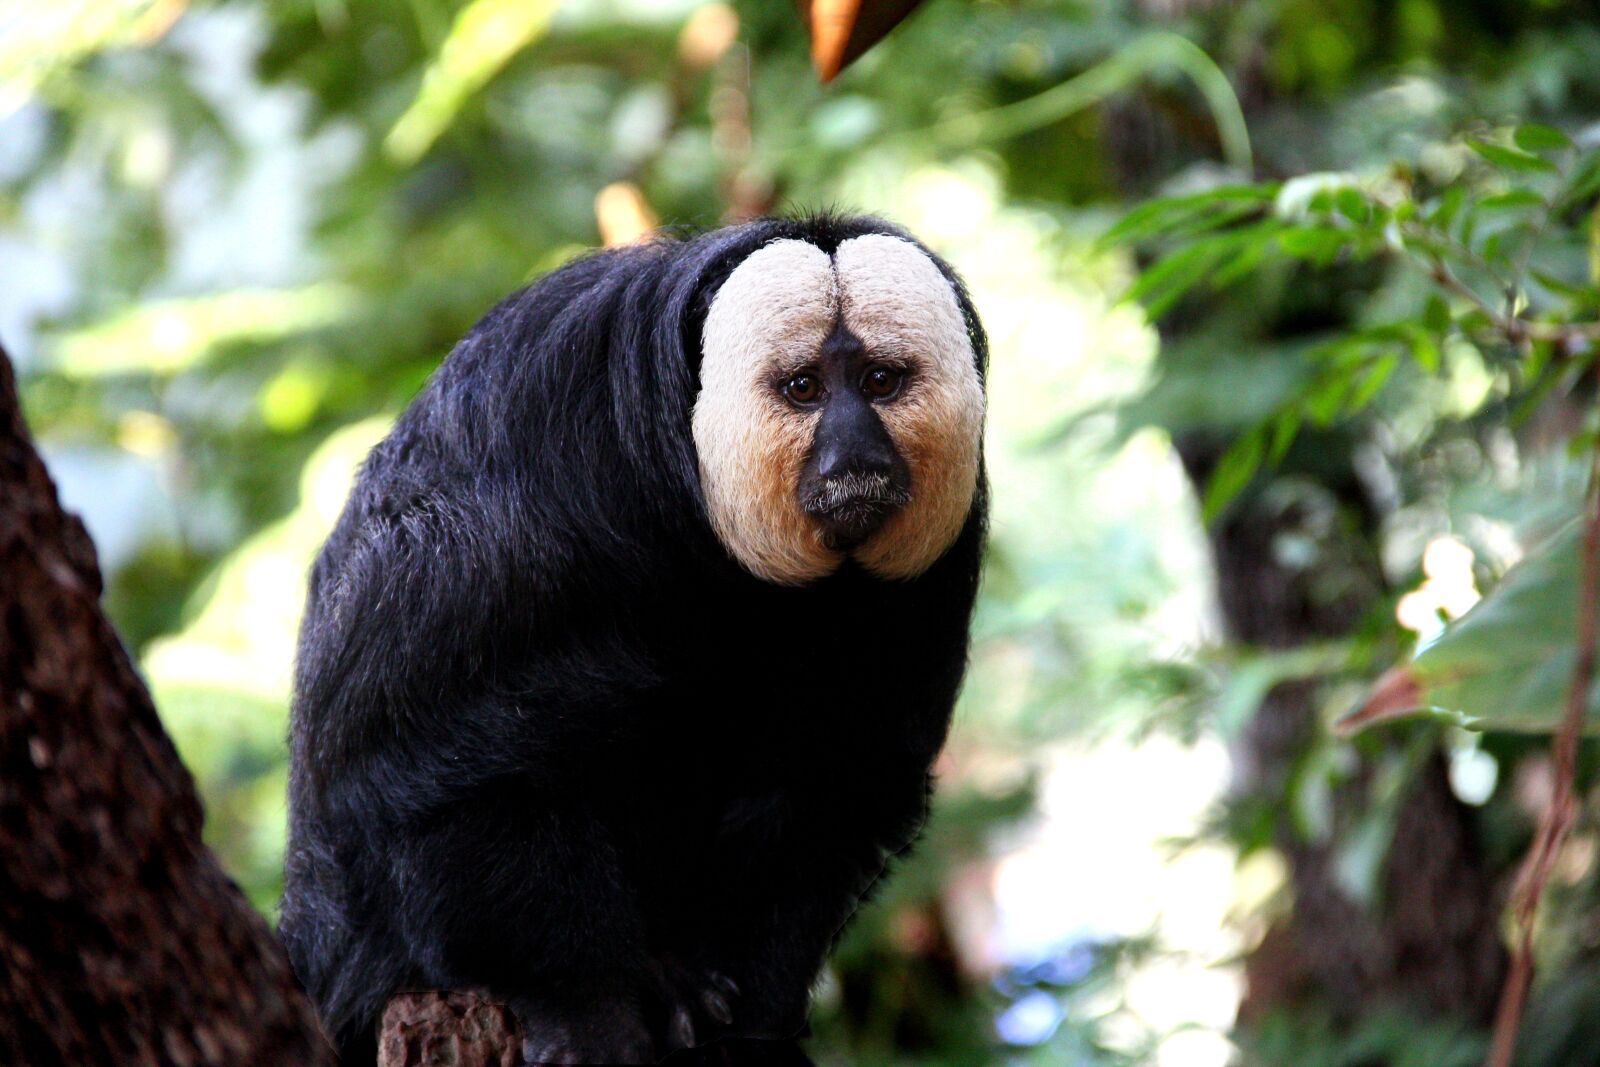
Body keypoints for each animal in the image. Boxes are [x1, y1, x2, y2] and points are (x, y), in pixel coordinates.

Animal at [279, 213, 988, 1065]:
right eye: (805, 388)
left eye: (881, 381)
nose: (856, 453)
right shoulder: (510, 474)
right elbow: (437, 756)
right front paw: (586, 1006)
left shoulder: (934, 561)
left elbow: (836, 770)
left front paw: (755, 1021)